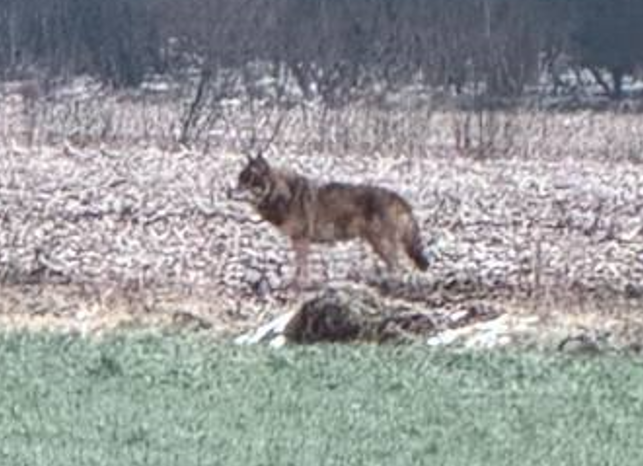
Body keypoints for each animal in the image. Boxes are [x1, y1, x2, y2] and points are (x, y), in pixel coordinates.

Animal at [231, 153, 429, 289]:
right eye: (239, 179)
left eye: (248, 181)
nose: (229, 192)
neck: (284, 195)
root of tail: (399, 198)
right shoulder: (296, 239)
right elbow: (298, 266)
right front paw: (295, 283)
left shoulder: (302, 239)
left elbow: (303, 266)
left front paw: (302, 285)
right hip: (378, 244)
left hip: (381, 243)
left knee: (398, 267)